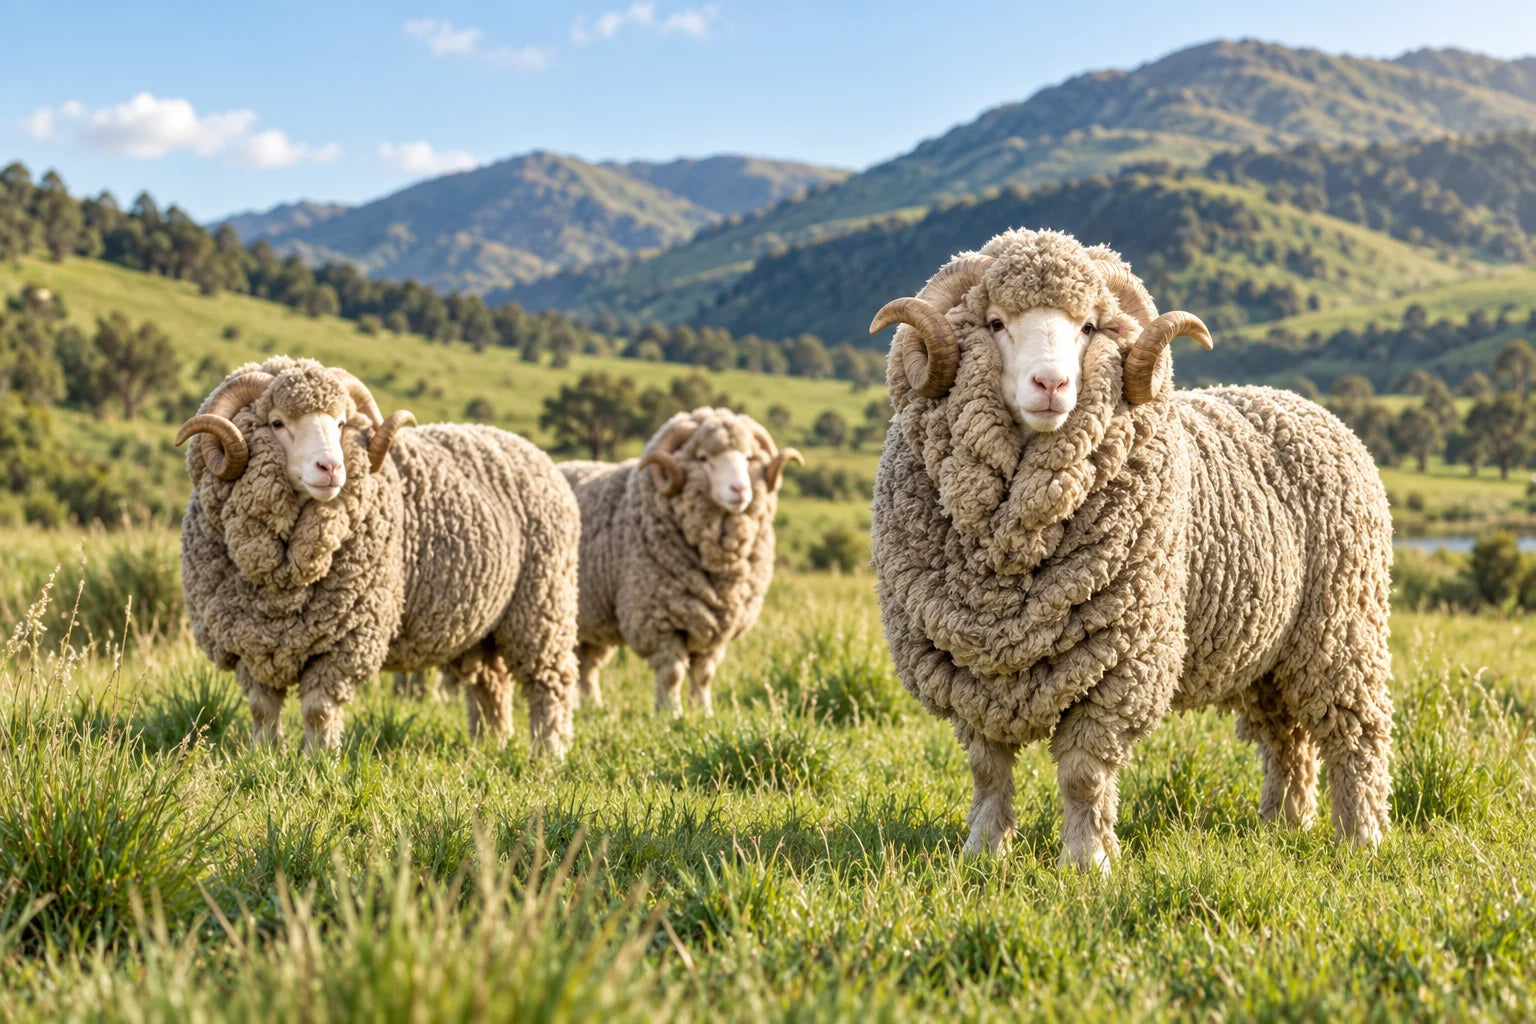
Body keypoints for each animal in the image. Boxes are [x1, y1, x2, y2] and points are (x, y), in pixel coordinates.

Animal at [176, 356, 581, 756]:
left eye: (341, 423)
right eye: (277, 423)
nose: (331, 468)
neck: (284, 582)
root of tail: (535, 453)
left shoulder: (345, 641)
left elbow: (318, 711)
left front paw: (317, 761)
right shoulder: (247, 643)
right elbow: (262, 710)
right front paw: (265, 757)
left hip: (542, 607)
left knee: (550, 684)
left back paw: (549, 751)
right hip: (485, 626)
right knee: (490, 683)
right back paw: (490, 744)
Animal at [558, 407, 802, 715]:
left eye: (748, 457)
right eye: (703, 458)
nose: (740, 490)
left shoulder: (716, 625)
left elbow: (704, 674)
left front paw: (704, 712)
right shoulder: (659, 619)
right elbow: (672, 673)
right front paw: (671, 713)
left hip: (593, 616)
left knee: (588, 663)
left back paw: (593, 705)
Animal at [867, 228, 1393, 871]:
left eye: (1089, 326)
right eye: (995, 323)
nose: (1051, 386)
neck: (1015, 555)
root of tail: (1311, 409)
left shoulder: (1117, 662)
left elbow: (1083, 777)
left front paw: (1086, 863)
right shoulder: (970, 667)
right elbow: (988, 772)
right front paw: (983, 853)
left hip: (1341, 627)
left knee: (1356, 733)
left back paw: (1362, 837)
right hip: (1270, 652)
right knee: (1286, 737)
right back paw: (1285, 824)